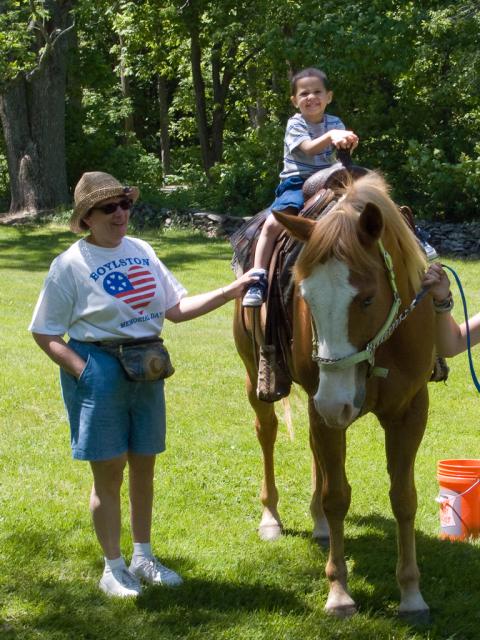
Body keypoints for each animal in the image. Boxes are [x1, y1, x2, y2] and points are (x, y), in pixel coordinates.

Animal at [233, 169, 436, 616]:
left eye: (367, 298)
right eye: (304, 296)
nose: (334, 401)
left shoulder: (410, 411)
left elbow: (404, 498)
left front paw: (412, 594)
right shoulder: (323, 407)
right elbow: (337, 496)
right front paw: (339, 592)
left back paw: (319, 526)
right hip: (261, 380)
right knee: (267, 433)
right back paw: (271, 517)